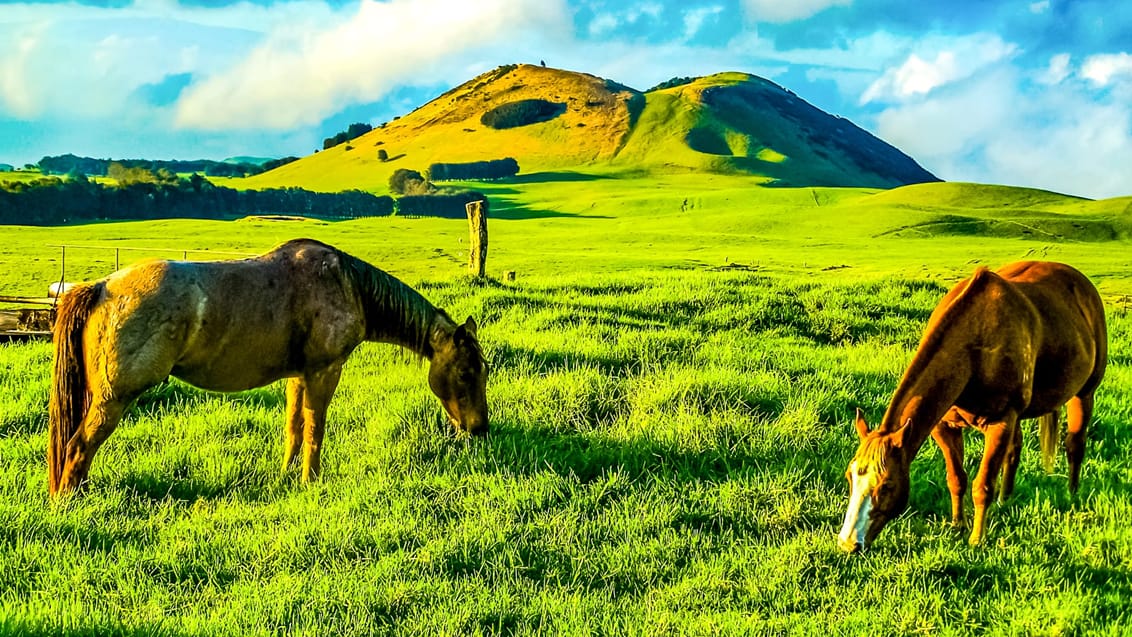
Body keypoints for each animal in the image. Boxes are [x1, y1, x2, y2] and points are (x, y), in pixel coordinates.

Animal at [46, 239, 489, 497]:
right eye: (466, 373)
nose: (479, 428)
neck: (347, 284)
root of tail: (101, 287)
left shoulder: (298, 375)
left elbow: (293, 427)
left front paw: (287, 475)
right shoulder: (324, 371)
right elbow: (315, 428)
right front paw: (311, 480)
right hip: (114, 398)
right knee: (79, 446)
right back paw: (70, 502)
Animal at [842, 261, 1104, 549]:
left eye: (887, 485)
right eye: (850, 476)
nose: (848, 542)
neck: (972, 351)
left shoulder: (1001, 421)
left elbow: (983, 485)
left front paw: (977, 539)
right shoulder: (944, 426)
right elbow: (956, 478)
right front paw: (958, 524)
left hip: (1084, 393)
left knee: (1074, 445)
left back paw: (1072, 495)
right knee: (1015, 450)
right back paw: (1005, 500)